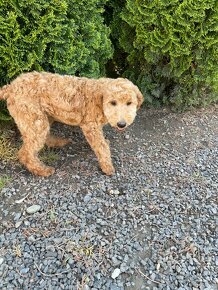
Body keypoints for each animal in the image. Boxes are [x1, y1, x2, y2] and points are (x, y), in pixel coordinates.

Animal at [0, 72, 144, 177]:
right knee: (25, 153)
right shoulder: (90, 125)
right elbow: (101, 146)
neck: (100, 98)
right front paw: (107, 167)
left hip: (44, 116)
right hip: (35, 119)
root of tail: (10, 87)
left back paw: (57, 142)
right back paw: (42, 170)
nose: (121, 124)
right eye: (113, 102)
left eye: (129, 103)